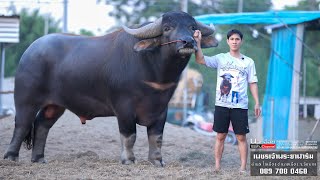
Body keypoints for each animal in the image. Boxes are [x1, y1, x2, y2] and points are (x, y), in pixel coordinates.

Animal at [3, 11, 218, 166]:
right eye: (167, 28)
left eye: (192, 27)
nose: (188, 41)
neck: (154, 72)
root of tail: (29, 52)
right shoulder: (124, 107)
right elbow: (129, 135)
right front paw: (128, 160)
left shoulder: (161, 109)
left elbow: (156, 137)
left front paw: (157, 161)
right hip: (25, 99)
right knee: (22, 124)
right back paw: (11, 157)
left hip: (55, 105)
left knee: (42, 125)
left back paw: (39, 158)